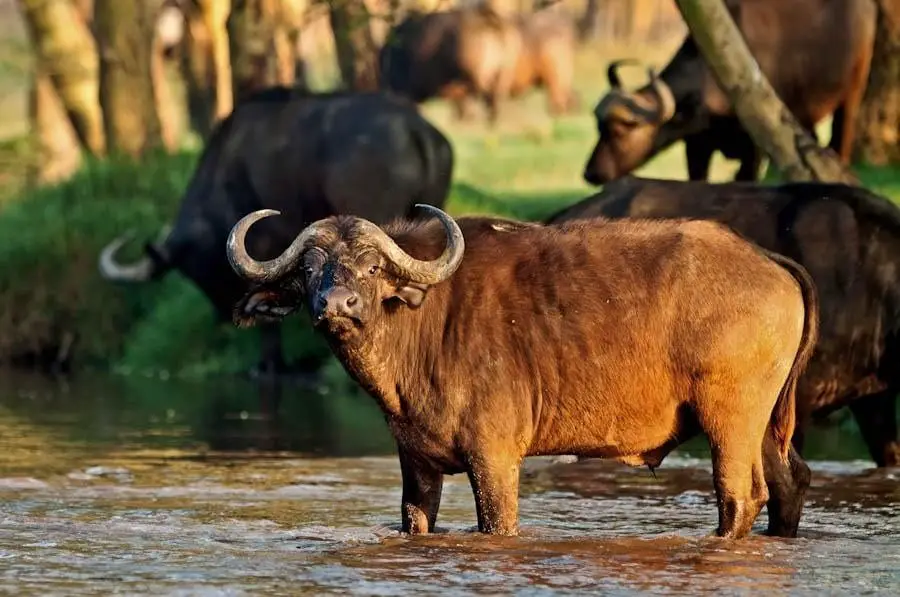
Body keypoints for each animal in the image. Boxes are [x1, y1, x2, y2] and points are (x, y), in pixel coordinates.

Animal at [229, 205, 820, 540]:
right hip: (765, 423)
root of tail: (766, 258)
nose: (336, 304)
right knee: (789, 483)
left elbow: (497, 524)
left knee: (740, 496)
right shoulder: (415, 463)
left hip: (730, 420)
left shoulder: (495, 459)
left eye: (373, 267)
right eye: (310, 269)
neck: (424, 323)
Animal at [580, 0, 876, 184]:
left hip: (853, 91)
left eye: (623, 129)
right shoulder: (697, 145)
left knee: (840, 143)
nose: (592, 173)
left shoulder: (755, 148)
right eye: (599, 128)